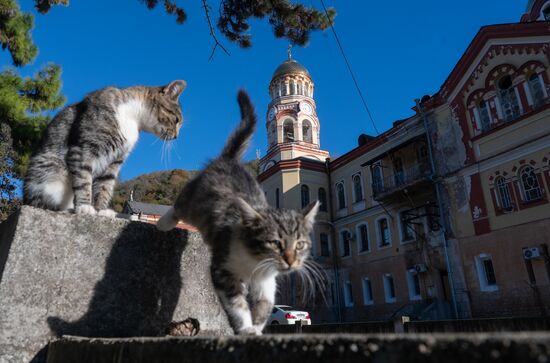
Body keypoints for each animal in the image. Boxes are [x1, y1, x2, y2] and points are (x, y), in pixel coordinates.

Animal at [24, 80, 188, 216]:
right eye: (176, 120)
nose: (176, 136)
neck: (132, 118)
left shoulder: (115, 161)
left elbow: (105, 186)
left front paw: (101, 210)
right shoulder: (84, 148)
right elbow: (84, 180)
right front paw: (84, 206)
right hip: (49, 176)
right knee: (43, 202)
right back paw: (68, 209)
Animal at [157, 90, 322, 336]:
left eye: (300, 244)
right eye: (275, 243)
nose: (291, 262)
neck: (254, 261)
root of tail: (229, 160)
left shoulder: (266, 281)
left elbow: (265, 305)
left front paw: (257, 328)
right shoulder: (223, 269)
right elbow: (237, 304)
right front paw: (245, 328)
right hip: (192, 200)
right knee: (179, 205)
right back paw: (163, 222)